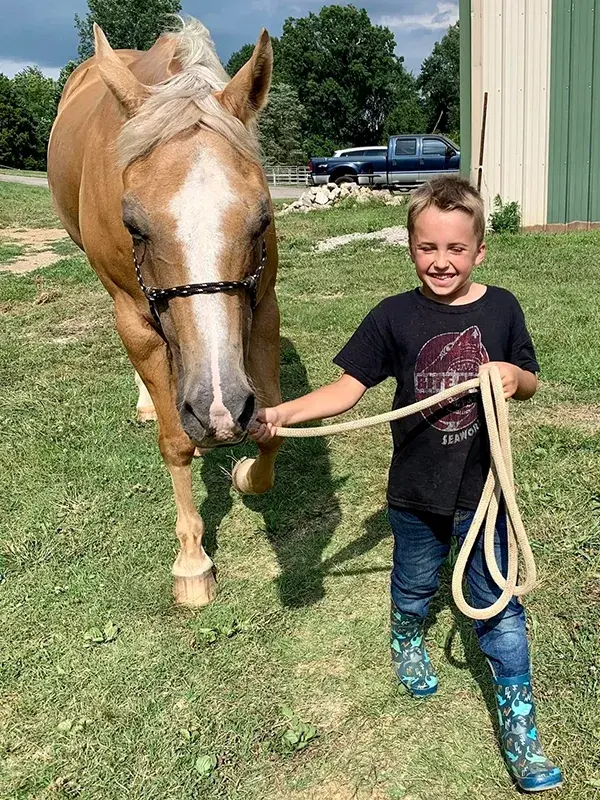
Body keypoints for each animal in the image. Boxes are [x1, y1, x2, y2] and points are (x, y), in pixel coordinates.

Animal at [47, 18, 282, 608]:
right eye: (134, 226)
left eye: (263, 218)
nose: (220, 409)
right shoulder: (136, 319)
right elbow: (175, 441)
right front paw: (193, 561)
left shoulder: (263, 309)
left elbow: (272, 423)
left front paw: (245, 473)